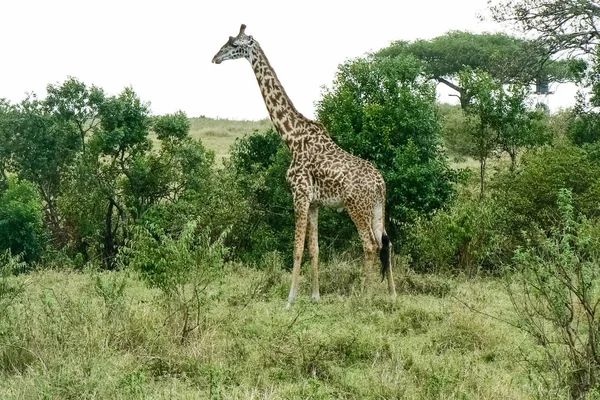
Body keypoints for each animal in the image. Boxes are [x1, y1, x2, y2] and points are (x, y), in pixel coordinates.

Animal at [213, 25, 396, 306]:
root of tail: (381, 184)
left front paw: (290, 299)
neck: (292, 137)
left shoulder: (299, 195)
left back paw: (366, 297)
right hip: (377, 208)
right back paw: (392, 295)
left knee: (370, 244)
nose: (215, 57)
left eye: (234, 44)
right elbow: (314, 248)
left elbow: (297, 247)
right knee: (386, 243)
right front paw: (315, 296)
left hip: (356, 206)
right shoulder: (314, 203)